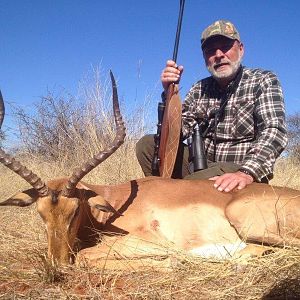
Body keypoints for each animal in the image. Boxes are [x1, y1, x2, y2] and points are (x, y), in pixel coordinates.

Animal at [0, 76, 300, 268]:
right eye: (40, 214)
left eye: (74, 211)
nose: (57, 265)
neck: (114, 204)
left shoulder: (152, 242)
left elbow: (85, 258)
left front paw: (173, 261)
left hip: (244, 220)